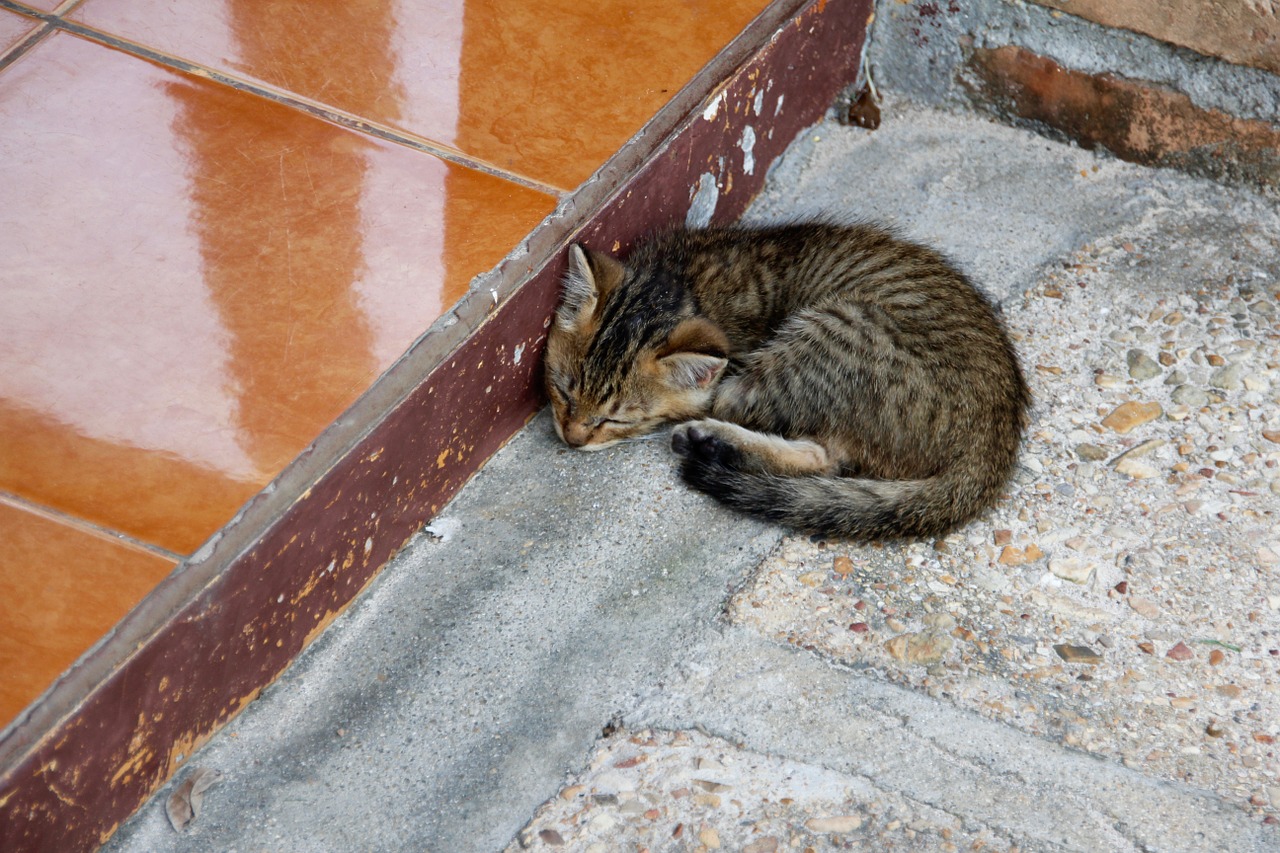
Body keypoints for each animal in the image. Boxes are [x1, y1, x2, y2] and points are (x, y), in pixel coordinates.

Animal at [542, 222, 1029, 535]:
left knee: (824, 457)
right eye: (563, 391)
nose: (573, 438)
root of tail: (995, 438)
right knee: (826, 458)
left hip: (829, 332)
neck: (685, 281)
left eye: (617, 419)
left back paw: (711, 439)